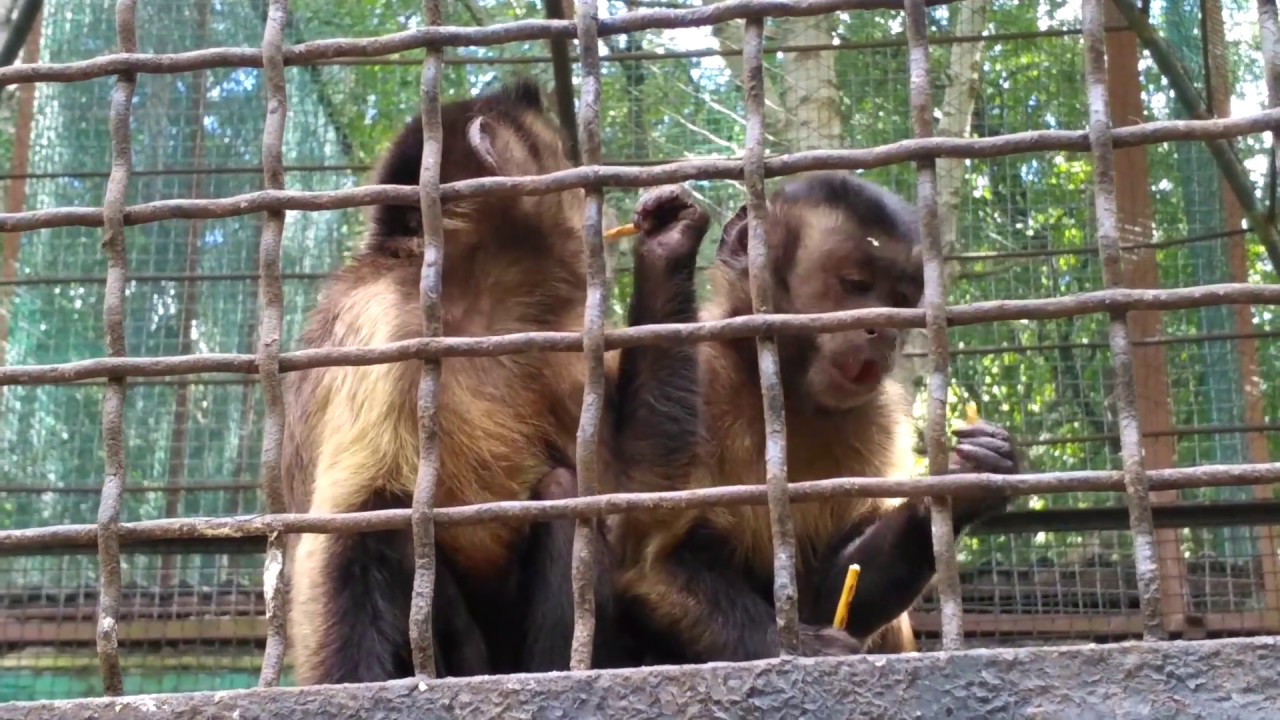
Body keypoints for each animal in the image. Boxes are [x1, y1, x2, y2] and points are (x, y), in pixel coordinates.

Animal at [277, 77, 711, 676]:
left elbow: (630, 503)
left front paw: (666, 244)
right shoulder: (382, 325)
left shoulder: (550, 337)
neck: (474, 305)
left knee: (561, 490)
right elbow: (347, 524)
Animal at [609, 172, 1018, 661]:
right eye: (856, 284)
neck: (780, 388)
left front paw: (969, 480)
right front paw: (666, 248)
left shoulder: (880, 417)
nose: (883, 331)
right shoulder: (703, 369)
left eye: (899, 300)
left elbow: (834, 590)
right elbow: (649, 558)